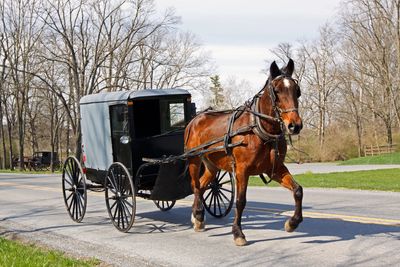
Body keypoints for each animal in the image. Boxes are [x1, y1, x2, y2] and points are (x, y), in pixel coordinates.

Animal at [184, 59, 304, 247]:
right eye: (277, 91)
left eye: (297, 91)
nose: (295, 125)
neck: (258, 129)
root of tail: (195, 119)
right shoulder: (242, 170)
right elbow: (240, 201)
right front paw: (238, 233)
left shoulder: (275, 168)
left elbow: (298, 190)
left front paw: (292, 223)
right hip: (194, 160)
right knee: (195, 185)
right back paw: (197, 215)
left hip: (212, 165)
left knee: (202, 186)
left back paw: (198, 218)